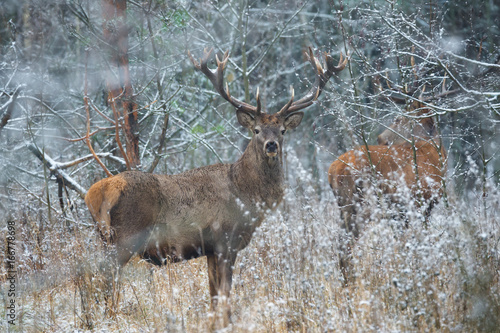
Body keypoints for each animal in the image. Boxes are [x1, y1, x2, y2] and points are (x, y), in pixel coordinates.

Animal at [86, 46, 346, 314]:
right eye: (256, 130)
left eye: (282, 130)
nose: (271, 145)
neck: (246, 194)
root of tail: (96, 192)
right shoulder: (225, 239)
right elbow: (225, 293)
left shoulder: (210, 249)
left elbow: (213, 294)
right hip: (124, 237)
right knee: (103, 278)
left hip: (104, 236)